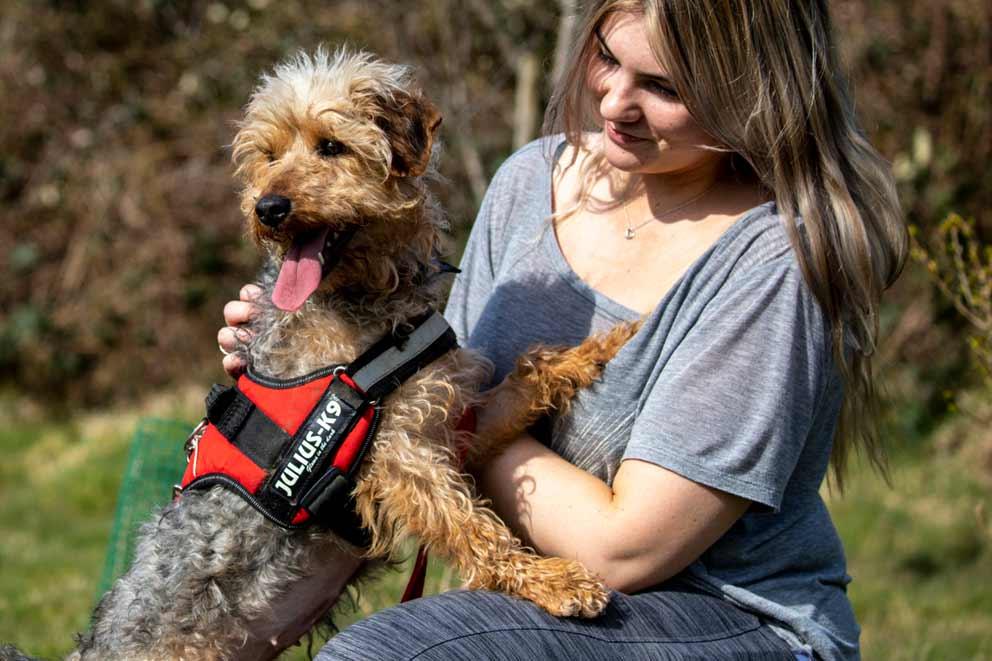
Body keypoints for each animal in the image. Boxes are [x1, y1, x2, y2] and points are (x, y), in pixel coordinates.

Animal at [23, 47, 640, 660]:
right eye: (269, 155)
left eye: (331, 146)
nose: (268, 207)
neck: (366, 303)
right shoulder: (398, 458)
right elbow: (470, 524)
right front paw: (552, 581)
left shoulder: (443, 425)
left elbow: (528, 376)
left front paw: (607, 343)